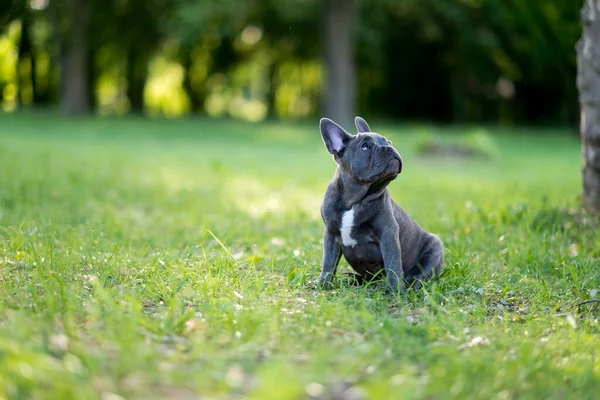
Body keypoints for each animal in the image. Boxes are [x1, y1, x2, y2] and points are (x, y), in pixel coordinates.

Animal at [316, 115, 442, 294]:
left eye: (388, 141)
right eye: (365, 147)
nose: (388, 148)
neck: (355, 200)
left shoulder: (388, 233)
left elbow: (392, 264)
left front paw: (396, 291)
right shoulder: (331, 234)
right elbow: (328, 262)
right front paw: (323, 284)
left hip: (435, 248)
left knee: (421, 274)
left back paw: (409, 285)